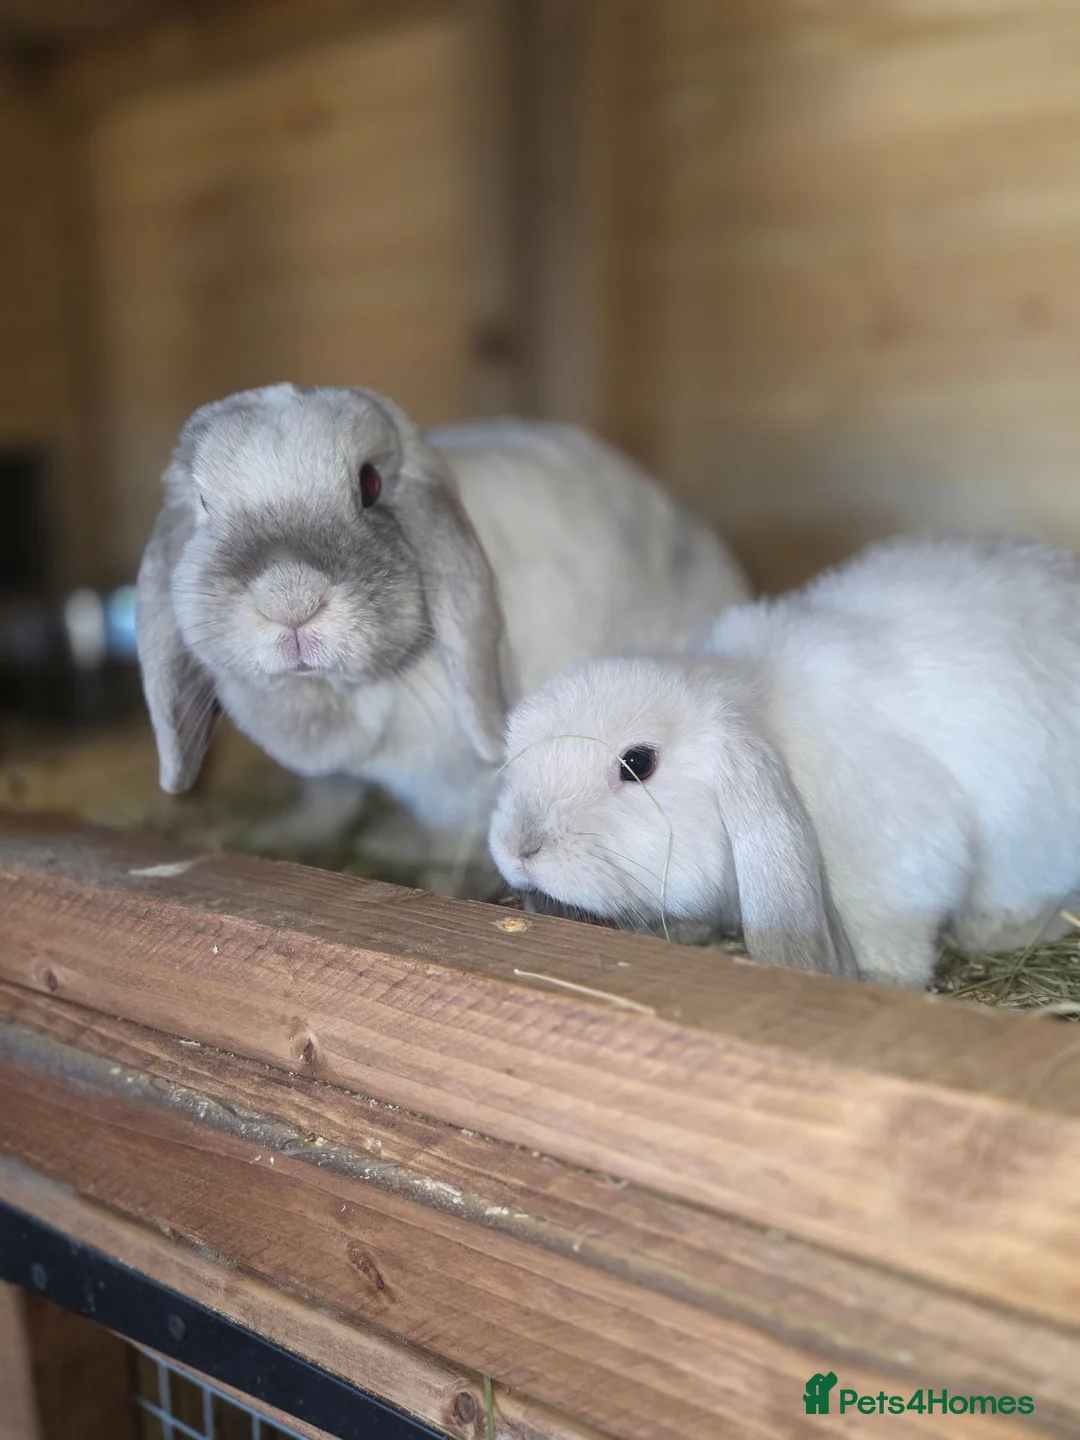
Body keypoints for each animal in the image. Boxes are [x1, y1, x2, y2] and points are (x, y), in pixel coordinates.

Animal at [136, 384, 750, 882]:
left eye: (370, 483)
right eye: (203, 502)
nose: (290, 601)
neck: (334, 696)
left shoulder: (461, 783)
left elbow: (451, 825)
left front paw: (401, 845)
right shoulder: (329, 778)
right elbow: (328, 799)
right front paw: (283, 835)